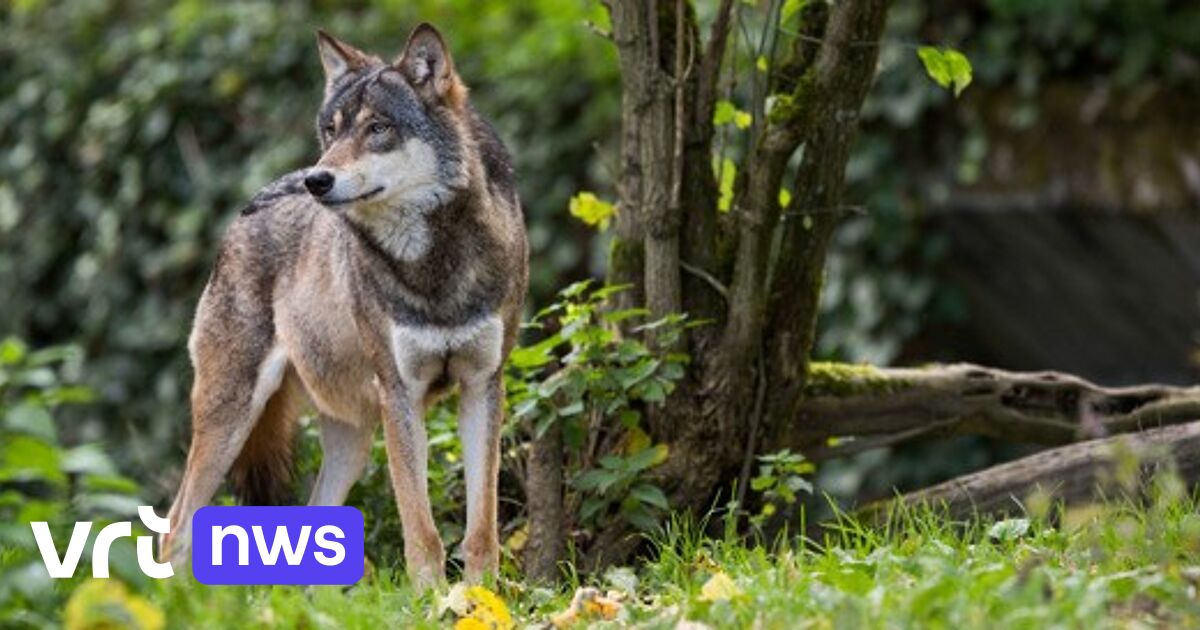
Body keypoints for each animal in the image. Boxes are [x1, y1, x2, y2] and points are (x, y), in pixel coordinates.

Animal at [160, 23, 528, 585]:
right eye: (331, 131)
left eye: (378, 128)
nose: (318, 180)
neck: (434, 264)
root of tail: (247, 210)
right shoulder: (400, 394)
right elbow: (422, 533)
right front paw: (432, 598)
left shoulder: (483, 386)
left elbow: (481, 529)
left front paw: (481, 596)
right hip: (231, 415)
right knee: (174, 529)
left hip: (350, 437)